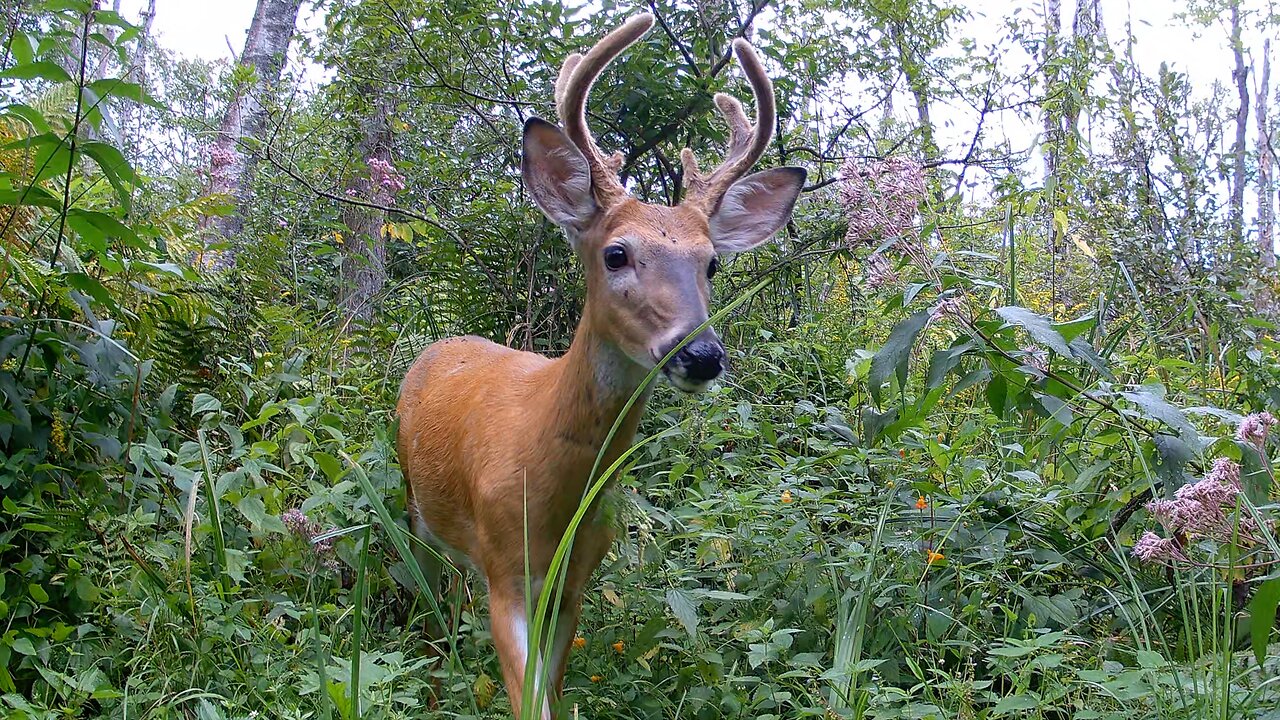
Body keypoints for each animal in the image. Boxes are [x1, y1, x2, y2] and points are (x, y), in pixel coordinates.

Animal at [394, 12, 803, 717]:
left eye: (711, 263)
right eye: (616, 253)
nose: (701, 354)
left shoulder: (576, 579)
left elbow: (553, 693)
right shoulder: (505, 567)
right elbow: (528, 701)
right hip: (412, 496)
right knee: (433, 582)